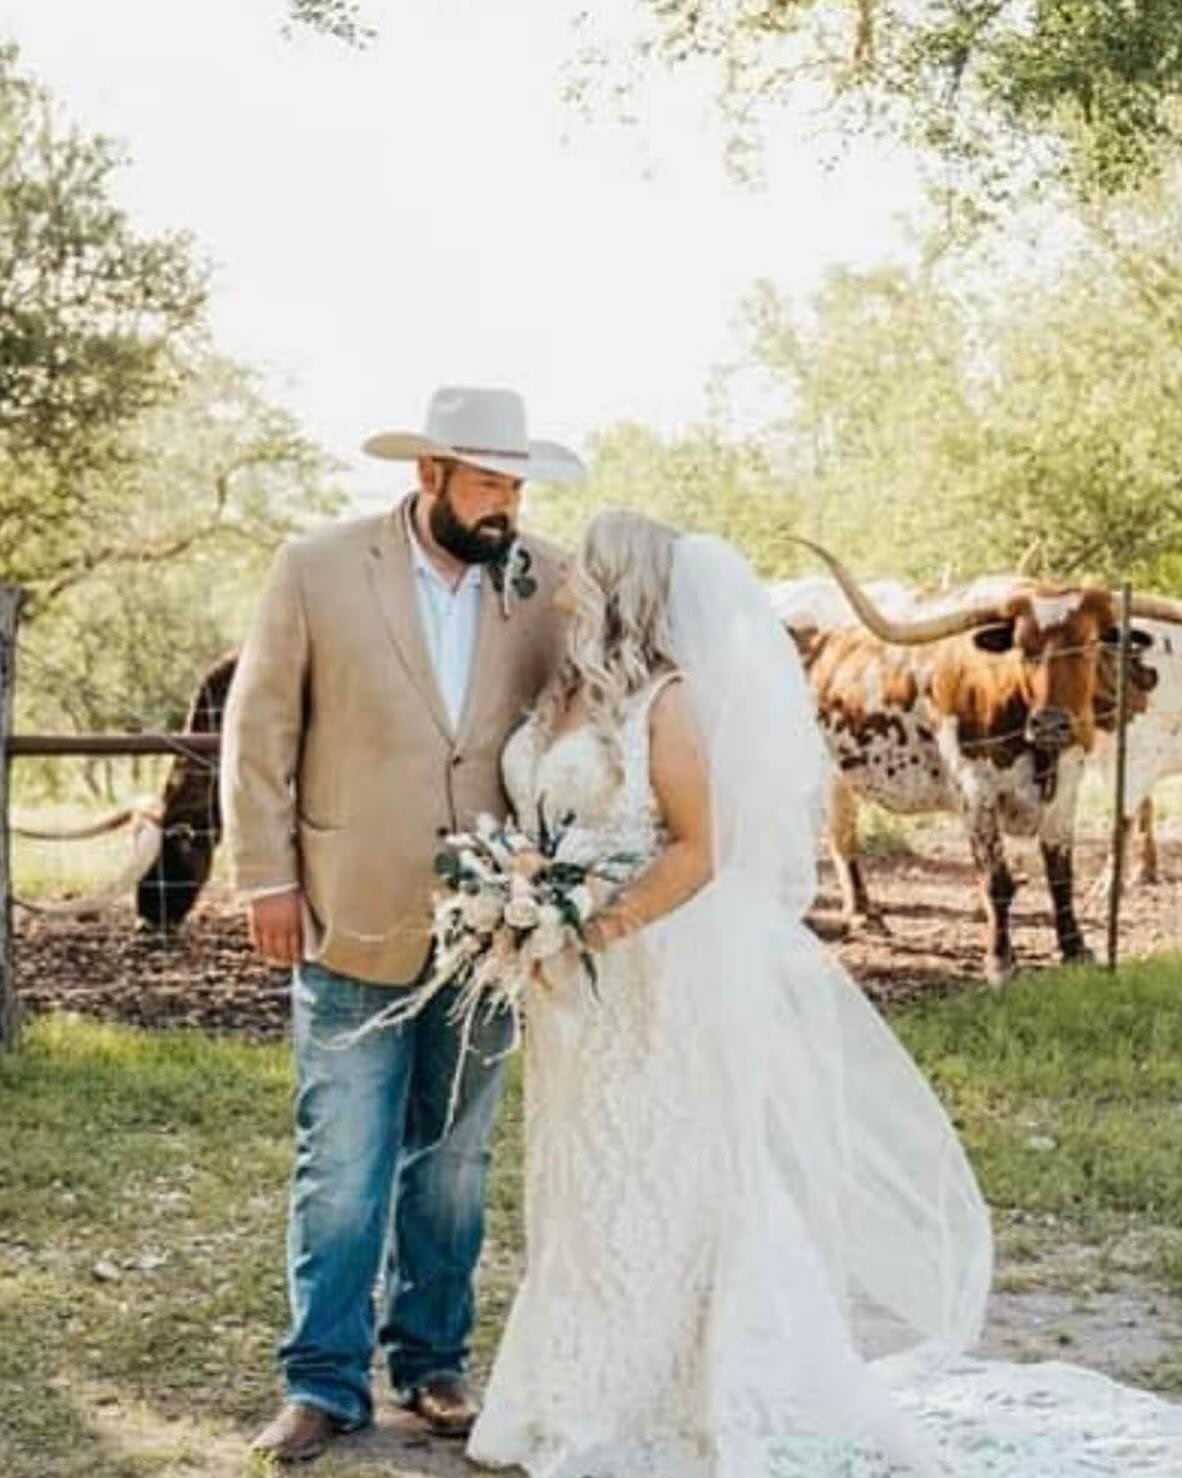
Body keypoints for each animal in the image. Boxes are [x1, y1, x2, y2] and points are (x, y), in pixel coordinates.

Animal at [786, 540, 1182, 981]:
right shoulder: (975, 788)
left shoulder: (1066, 787)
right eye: (1023, 648)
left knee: (841, 835)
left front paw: (1076, 950)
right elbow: (996, 880)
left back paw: (864, 915)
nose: (1052, 723)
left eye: (1091, 644)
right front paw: (1000, 961)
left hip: (835, 772)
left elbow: (1061, 873)